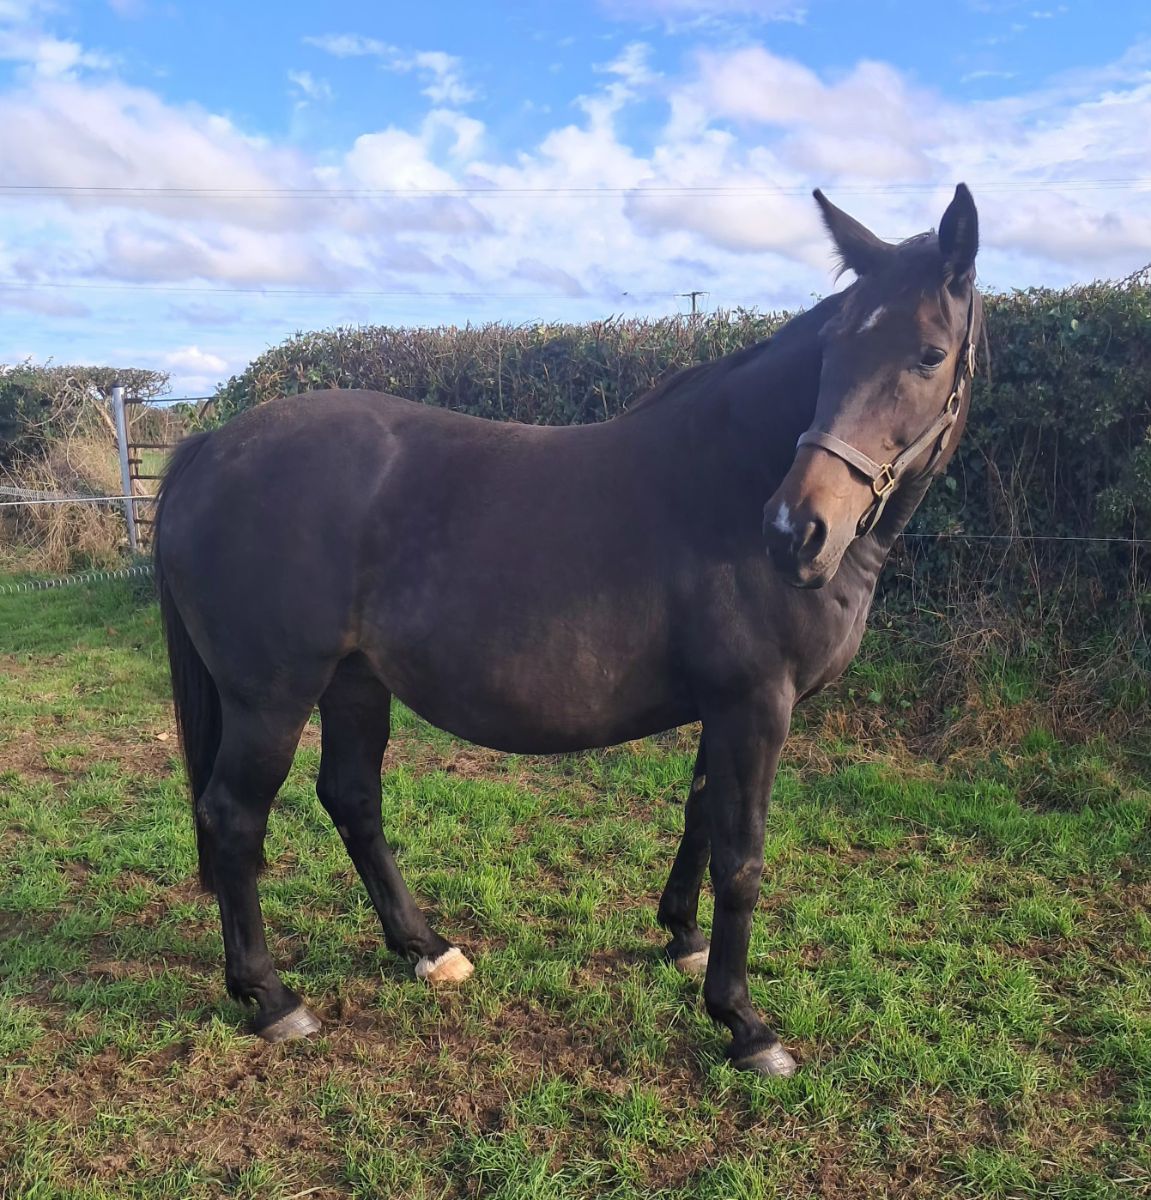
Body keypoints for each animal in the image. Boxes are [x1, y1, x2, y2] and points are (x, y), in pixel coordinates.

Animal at [154, 186, 982, 1077]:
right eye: (832, 351)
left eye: (929, 353)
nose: (797, 532)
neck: (729, 483)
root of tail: (212, 444)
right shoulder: (757, 705)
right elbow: (742, 858)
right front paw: (743, 1023)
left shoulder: (724, 707)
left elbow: (699, 816)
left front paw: (682, 939)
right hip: (271, 697)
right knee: (233, 817)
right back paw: (273, 999)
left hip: (354, 682)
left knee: (351, 798)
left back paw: (424, 948)